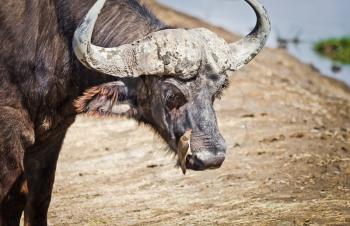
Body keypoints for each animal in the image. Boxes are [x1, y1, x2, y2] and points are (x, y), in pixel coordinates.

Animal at [0, 0, 270, 224]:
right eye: (170, 94)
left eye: (218, 90)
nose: (211, 157)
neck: (53, 35)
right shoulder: (9, 127)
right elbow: (12, 198)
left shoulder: (53, 132)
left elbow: (40, 198)